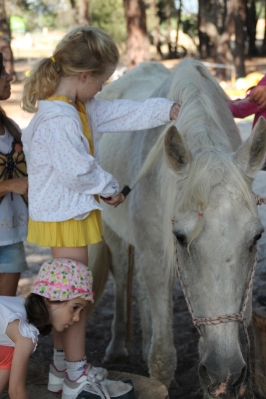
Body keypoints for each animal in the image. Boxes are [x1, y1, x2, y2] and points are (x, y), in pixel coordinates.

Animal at [93, 58, 266, 396]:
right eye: (181, 238)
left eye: (256, 238)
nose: (225, 374)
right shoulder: (157, 258)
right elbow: (163, 358)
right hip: (116, 236)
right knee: (122, 277)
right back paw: (117, 346)